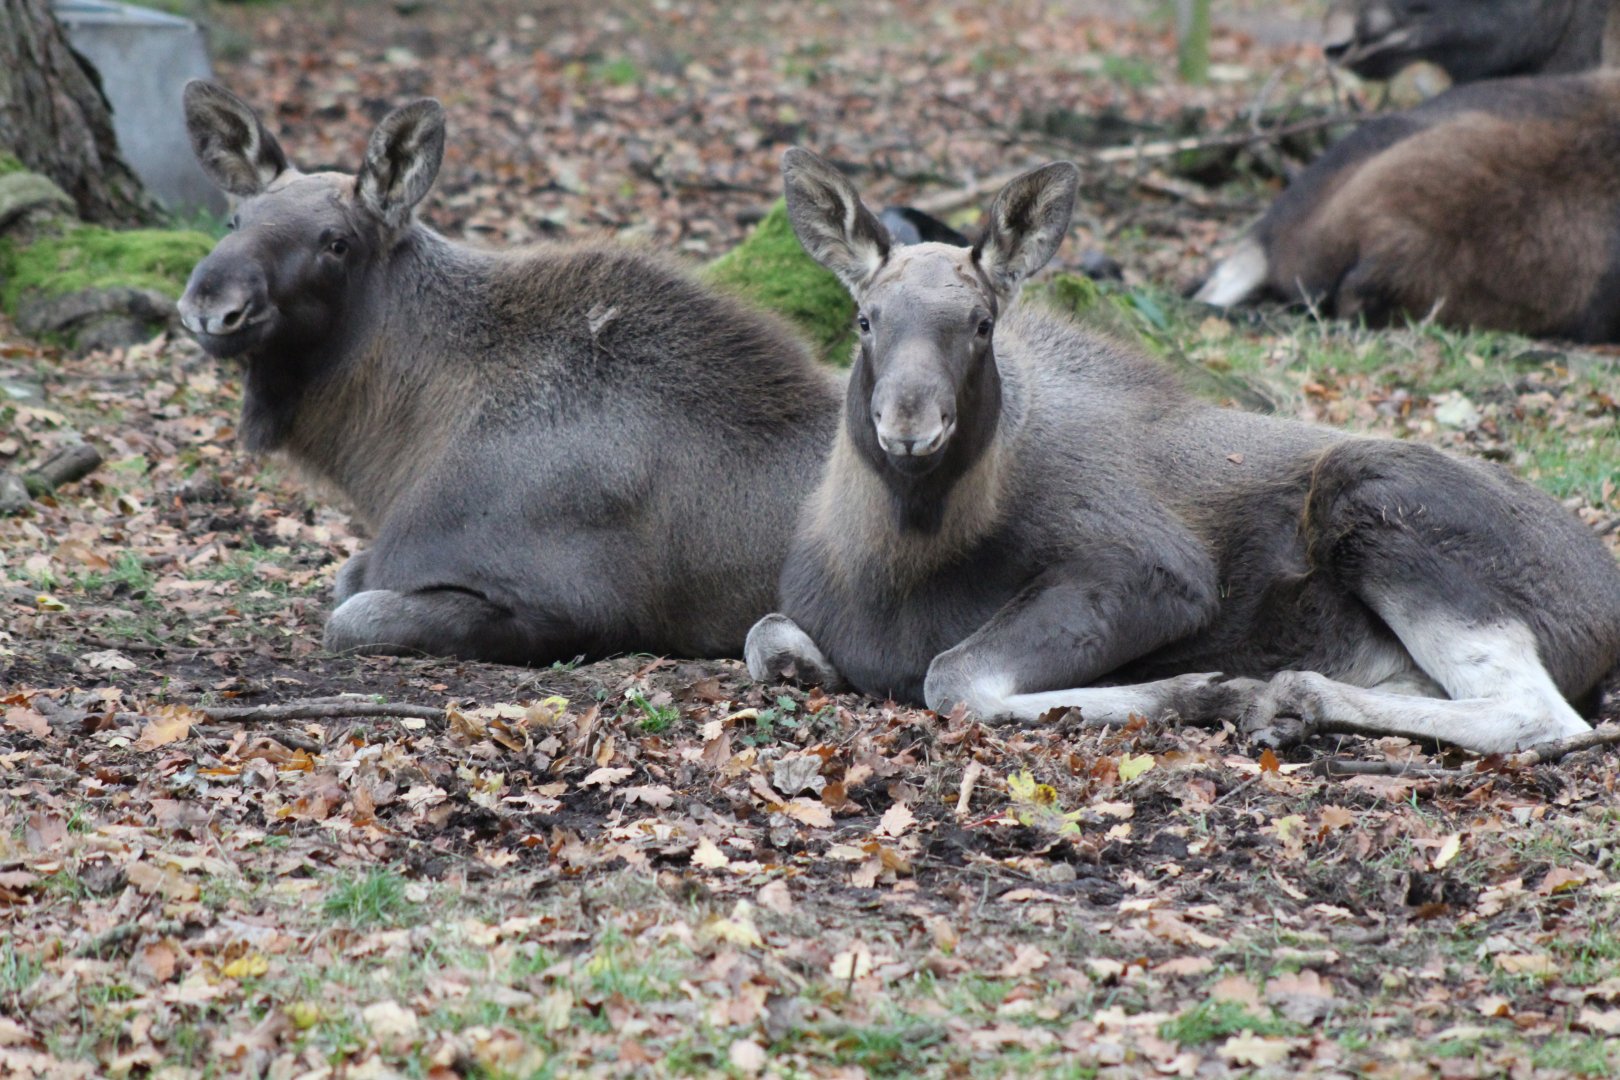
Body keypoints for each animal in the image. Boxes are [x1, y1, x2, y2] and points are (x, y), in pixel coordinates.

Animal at [177, 82, 842, 666]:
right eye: (235, 221)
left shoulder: (574, 606)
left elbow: (350, 617)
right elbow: (345, 577)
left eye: (337, 242)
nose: (211, 304)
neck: (391, 458)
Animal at [745, 148, 1620, 756]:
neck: (895, 555)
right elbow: (766, 636)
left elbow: (951, 675)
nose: (909, 426)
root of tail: (1607, 605)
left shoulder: (1157, 572)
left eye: (983, 323)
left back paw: (1291, 697)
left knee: (1539, 714)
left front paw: (1201, 690)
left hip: (1371, 495)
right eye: (865, 319)